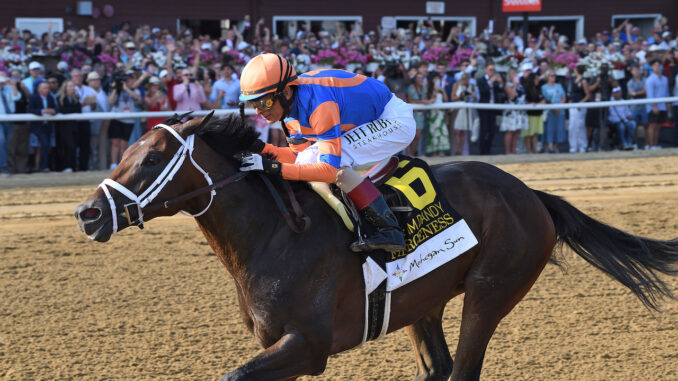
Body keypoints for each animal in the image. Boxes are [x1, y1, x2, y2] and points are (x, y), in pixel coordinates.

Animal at [74, 113, 678, 380]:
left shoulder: (307, 345)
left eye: (153, 158)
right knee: (438, 366)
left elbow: (234, 375)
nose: (87, 213)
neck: (272, 236)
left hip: (491, 290)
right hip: (420, 304)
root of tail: (531, 194)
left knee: (463, 368)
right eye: (124, 151)